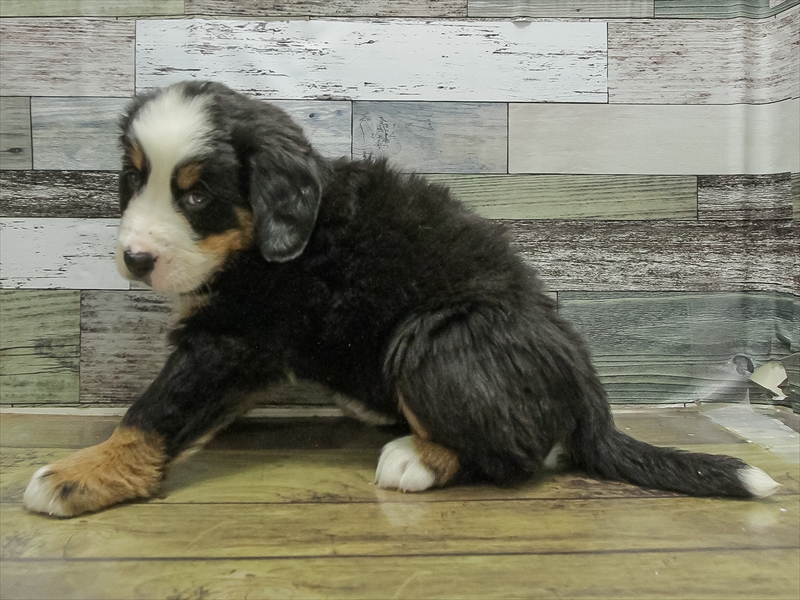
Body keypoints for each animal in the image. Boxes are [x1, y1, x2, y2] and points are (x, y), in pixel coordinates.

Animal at [23, 81, 780, 517]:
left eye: (198, 194)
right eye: (133, 178)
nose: (135, 259)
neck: (269, 236)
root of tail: (588, 389)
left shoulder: (235, 336)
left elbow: (153, 412)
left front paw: (81, 475)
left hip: (436, 338)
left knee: (517, 457)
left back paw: (417, 458)